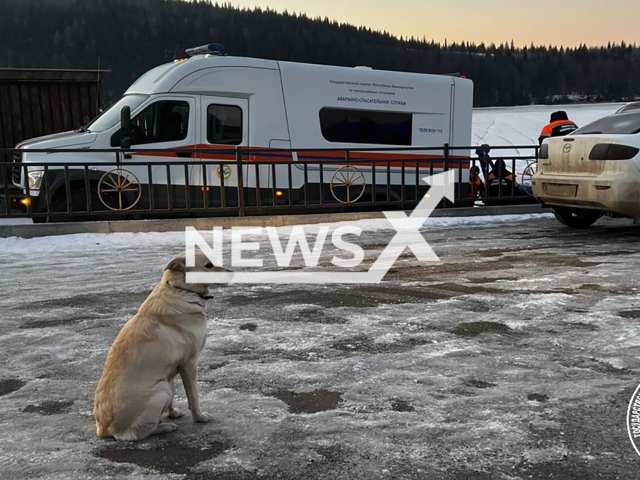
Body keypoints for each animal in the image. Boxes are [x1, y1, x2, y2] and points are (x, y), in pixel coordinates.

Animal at [92, 251, 228, 442]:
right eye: (208, 265)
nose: (233, 272)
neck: (181, 290)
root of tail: (103, 429)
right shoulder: (190, 364)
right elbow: (193, 396)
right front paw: (199, 417)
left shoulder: (172, 370)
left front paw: (172, 412)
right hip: (161, 390)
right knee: (136, 432)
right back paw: (164, 427)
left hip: (164, 385)